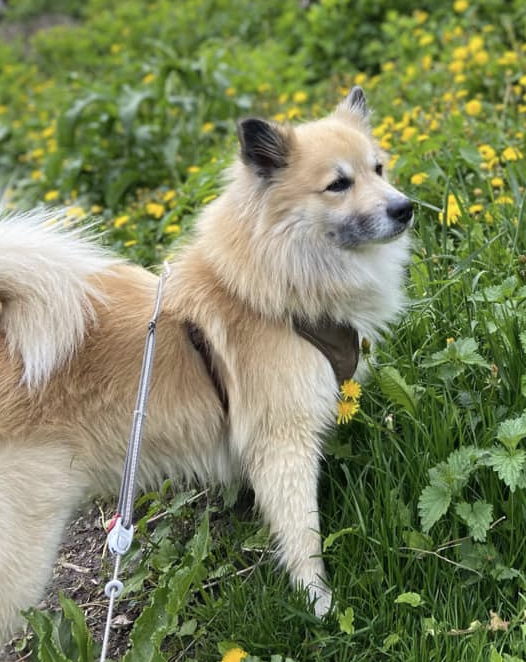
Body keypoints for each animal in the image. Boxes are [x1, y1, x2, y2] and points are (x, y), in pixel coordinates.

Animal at [0, 85, 414, 644]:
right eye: (338, 184)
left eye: (379, 168)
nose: (405, 208)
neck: (277, 281)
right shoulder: (283, 445)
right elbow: (304, 536)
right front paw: (319, 605)